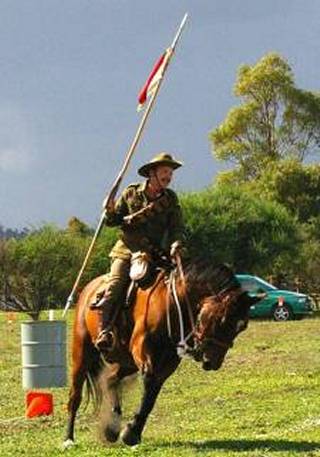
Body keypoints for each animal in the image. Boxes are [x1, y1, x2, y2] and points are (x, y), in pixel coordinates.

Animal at [63, 258, 258, 448]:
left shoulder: (168, 362)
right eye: (221, 320)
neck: (173, 302)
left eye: (242, 326)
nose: (213, 362)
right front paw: (131, 432)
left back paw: (111, 427)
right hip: (82, 353)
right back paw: (69, 439)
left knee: (111, 379)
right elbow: (150, 384)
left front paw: (132, 432)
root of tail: (88, 289)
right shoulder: (144, 351)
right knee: (75, 396)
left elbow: (152, 393)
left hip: (127, 362)